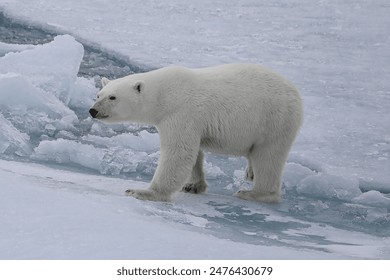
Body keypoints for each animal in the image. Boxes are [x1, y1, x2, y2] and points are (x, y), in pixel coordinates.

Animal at [90, 63, 304, 202]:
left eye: (113, 97)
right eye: (98, 95)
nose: (93, 111)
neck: (165, 94)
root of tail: (294, 92)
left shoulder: (181, 113)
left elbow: (179, 153)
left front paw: (142, 192)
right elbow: (194, 154)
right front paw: (193, 186)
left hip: (274, 120)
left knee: (268, 157)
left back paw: (253, 193)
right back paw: (250, 173)